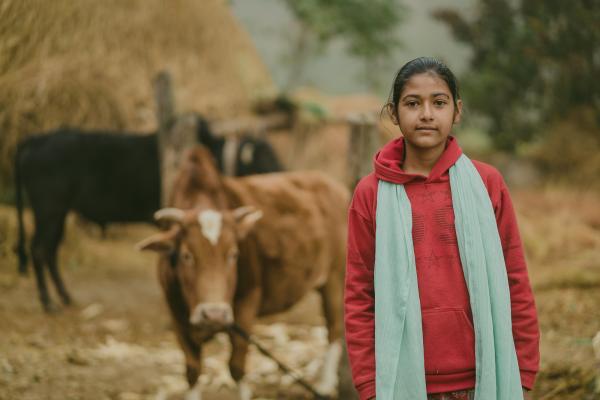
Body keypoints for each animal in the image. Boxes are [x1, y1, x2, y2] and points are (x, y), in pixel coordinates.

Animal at [15, 117, 282, 310]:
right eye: (265, 154)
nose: (282, 170)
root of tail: (34, 140)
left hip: (57, 214)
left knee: (50, 251)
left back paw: (65, 296)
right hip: (48, 211)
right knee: (38, 249)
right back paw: (48, 302)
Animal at [137, 147, 350, 400]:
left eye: (234, 254)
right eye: (186, 255)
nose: (214, 314)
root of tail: (337, 188)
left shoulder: (247, 304)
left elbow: (237, 367)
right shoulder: (176, 313)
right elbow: (192, 371)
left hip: (335, 279)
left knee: (334, 329)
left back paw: (324, 384)